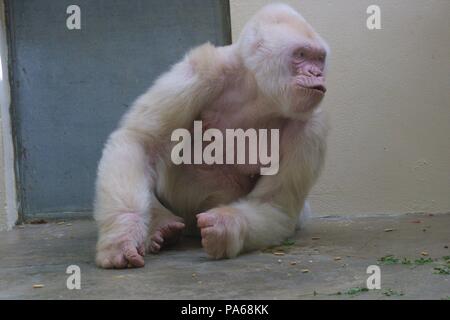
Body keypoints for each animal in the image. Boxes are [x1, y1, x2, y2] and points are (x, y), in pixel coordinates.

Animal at [95, 3, 328, 268]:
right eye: (301, 54)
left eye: (319, 59)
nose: (317, 74)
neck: (257, 91)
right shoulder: (202, 70)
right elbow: (140, 142)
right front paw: (122, 237)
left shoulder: (312, 126)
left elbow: (272, 204)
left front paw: (226, 227)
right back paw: (159, 221)